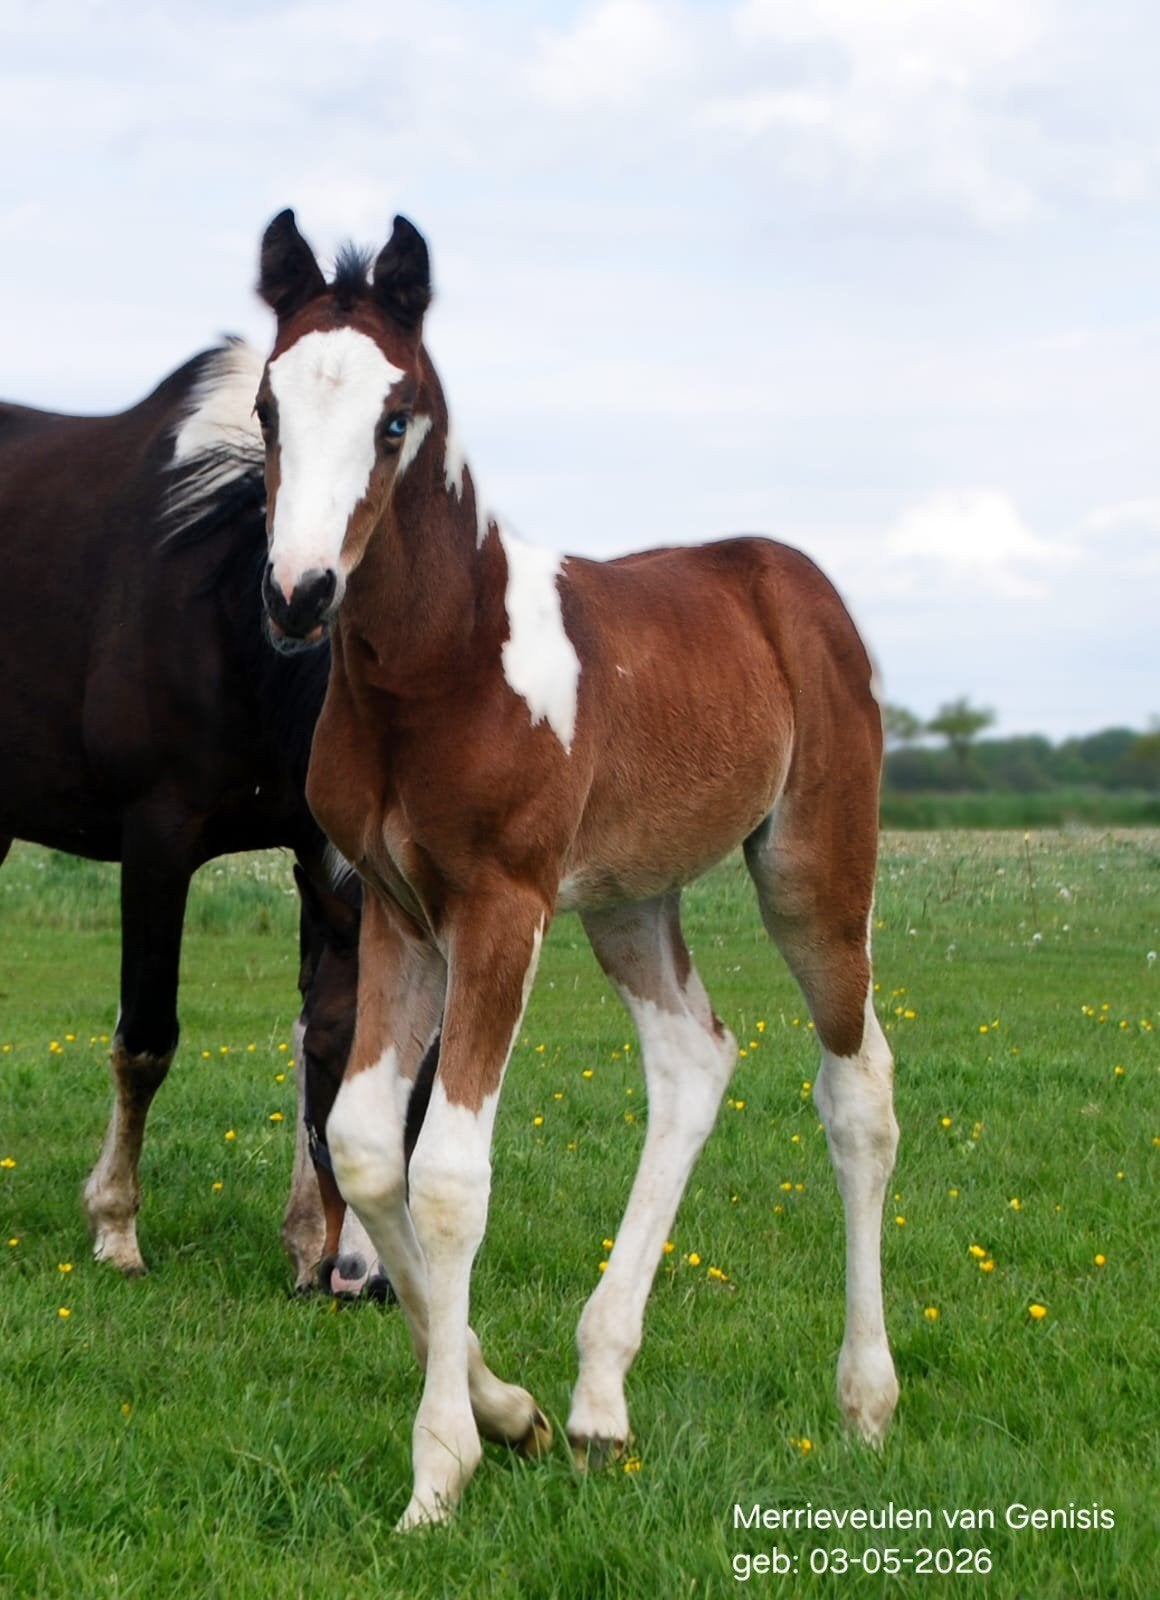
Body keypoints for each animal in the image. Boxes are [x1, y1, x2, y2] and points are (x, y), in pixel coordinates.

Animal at [0, 341, 364, 1289]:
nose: (363, 1281)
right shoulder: (157, 843)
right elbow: (146, 1041)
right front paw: (116, 1228)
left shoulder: (311, 854)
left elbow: (302, 1013)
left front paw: (303, 1239)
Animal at [253, 209, 900, 1529]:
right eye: (266, 408)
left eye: (394, 420)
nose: (298, 595)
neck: (437, 666)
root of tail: (790, 577)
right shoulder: (396, 909)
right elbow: (364, 1143)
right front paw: (512, 1410)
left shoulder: (500, 907)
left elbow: (448, 1172)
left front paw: (439, 1469)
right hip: (628, 899)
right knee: (694, 1060)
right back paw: (600, 1399)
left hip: (810, 869)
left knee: (856, 1086)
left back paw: (864, 1399)